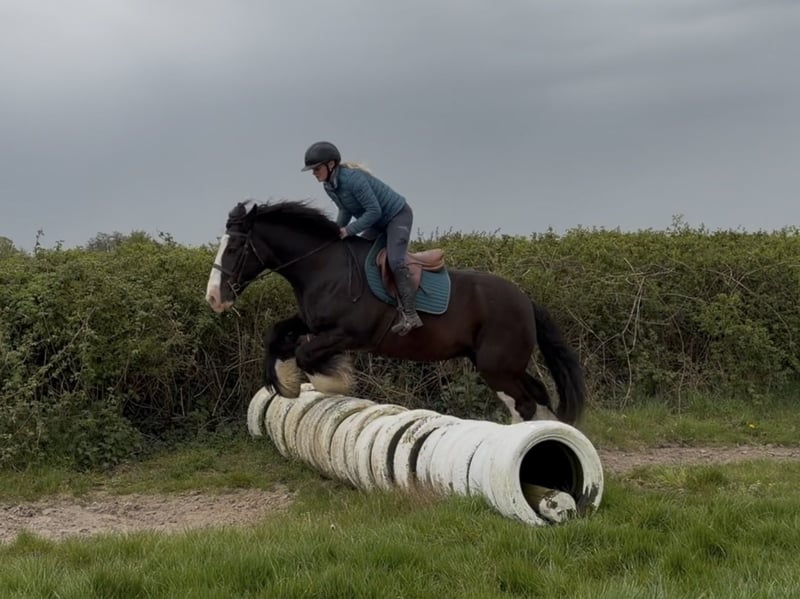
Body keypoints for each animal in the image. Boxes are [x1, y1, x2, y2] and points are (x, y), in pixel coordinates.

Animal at [205, 199, 586, 425]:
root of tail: (525, 301)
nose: (213, 298)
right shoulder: (312, 322)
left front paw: (332, 381)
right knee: (537, 395)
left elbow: (305, 353)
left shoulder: (347, 334)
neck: (323, 266)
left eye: (235, 248)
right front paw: (285, 383)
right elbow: (277, 336)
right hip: (500, 363)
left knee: (524, 403)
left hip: (497, 366)